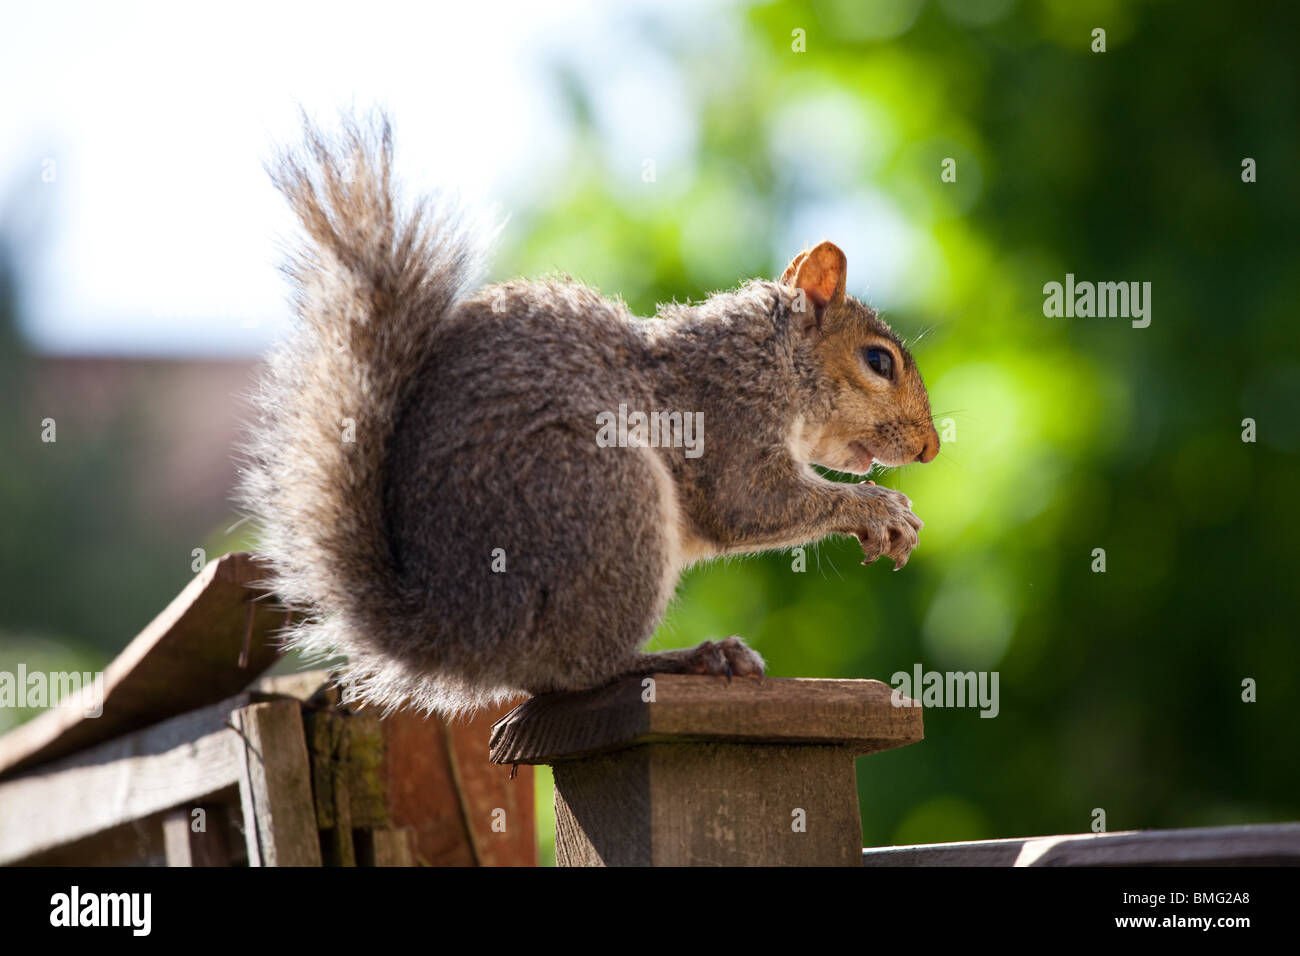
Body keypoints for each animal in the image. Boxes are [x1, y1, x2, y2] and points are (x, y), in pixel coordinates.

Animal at [237, 114, 940, 717]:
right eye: (878, 361)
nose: (930, 448)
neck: (771, 358)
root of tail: (456, 632)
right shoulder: (727, 415)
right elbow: (750, 502)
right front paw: (880, 510)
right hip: (606, 498)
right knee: (577, 671)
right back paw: (692, 657)